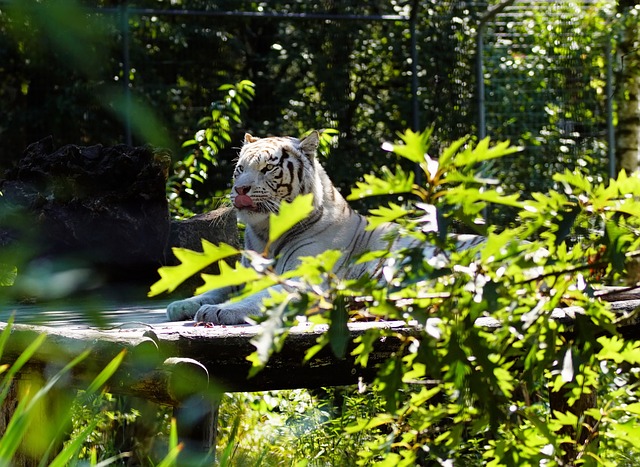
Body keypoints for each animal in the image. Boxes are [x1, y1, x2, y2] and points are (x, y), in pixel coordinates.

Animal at [165, 133, 480, 326]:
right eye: (240, 168)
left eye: (267, 168)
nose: (240, 189)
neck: (267, 234)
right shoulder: (246, 274)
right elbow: (215, 289)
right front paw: (180, 305)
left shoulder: (302, 279)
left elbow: (259, 296)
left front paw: (220, 310)